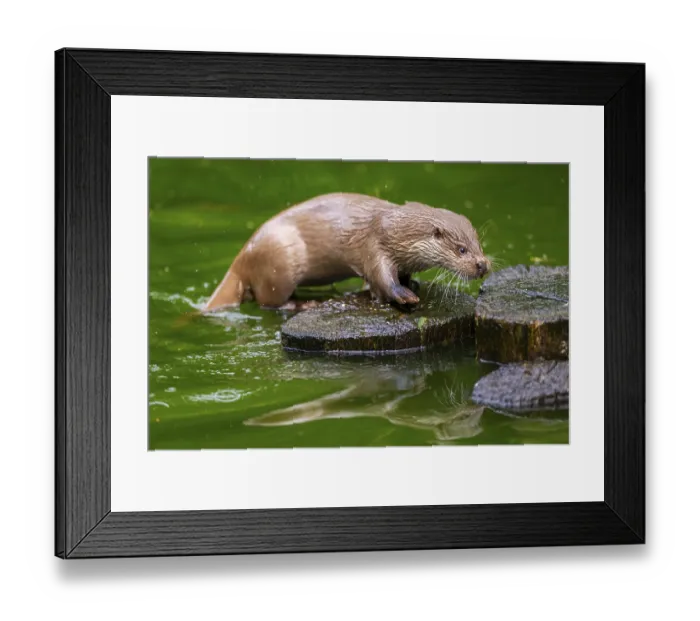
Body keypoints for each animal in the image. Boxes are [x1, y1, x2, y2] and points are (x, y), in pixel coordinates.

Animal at [203, 193, 490, 312]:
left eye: (479, 244)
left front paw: (412, 284)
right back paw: (305, 304)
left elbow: (402, 274)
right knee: (269, 302)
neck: (396, 230)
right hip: (281, 261)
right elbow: (381, 278)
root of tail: (242, 257)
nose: (482, 265)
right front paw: (404, 295)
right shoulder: (375, 247)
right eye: (461, 249)